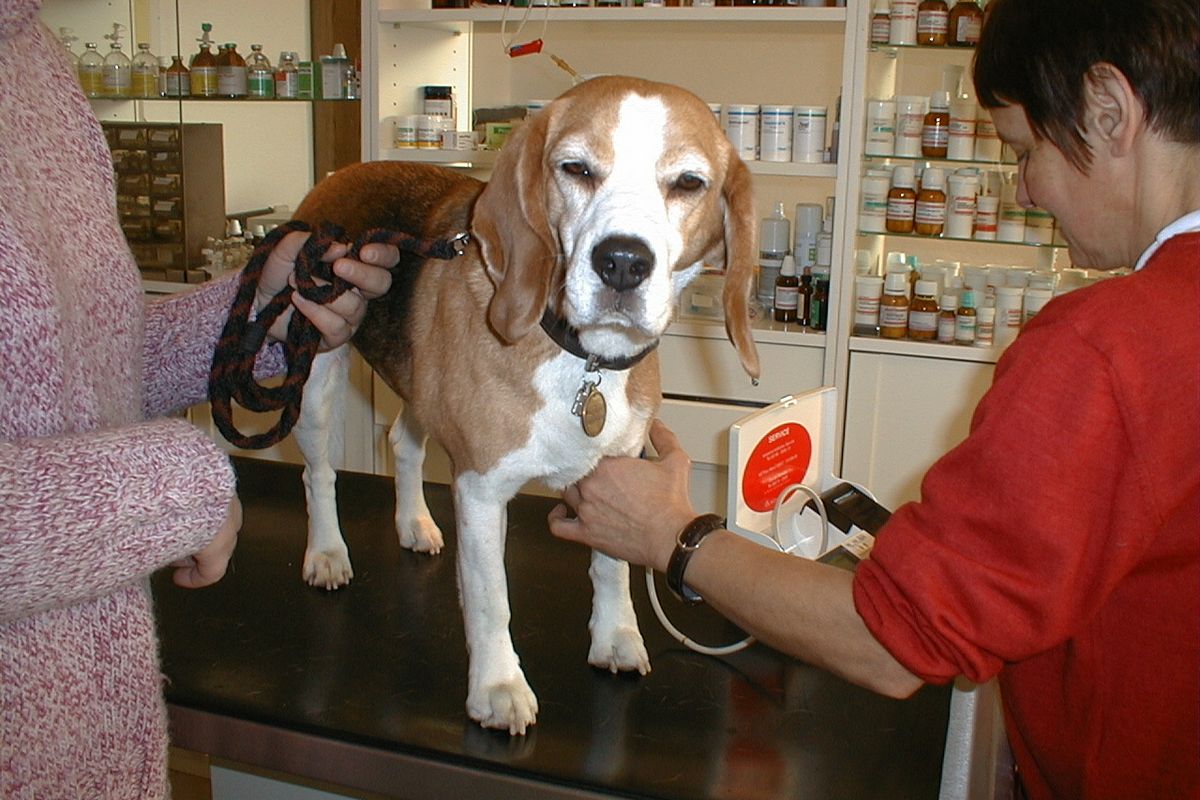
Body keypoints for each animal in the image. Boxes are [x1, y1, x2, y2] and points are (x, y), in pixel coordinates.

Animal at [288, 75, 761, 734]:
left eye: (688, 182)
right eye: (576, 168)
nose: (622, 261)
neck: (582, 361)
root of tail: (342, 173)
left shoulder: (617, 473)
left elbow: (611, 567)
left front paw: (615, 637)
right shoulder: (482, 490)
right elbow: (492, 602)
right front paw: (497, 687)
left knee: (402, 442)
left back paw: (413, 523)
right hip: (317, 372)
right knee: (319, 474)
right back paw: (327, 553)